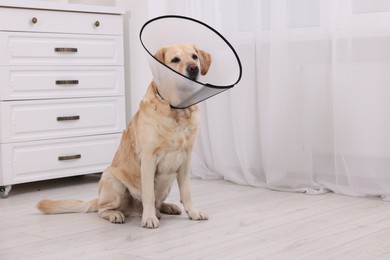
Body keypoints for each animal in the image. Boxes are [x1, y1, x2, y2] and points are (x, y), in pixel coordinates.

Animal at [36, 44, 212, 230]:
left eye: (194, 57)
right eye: (175, 59)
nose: (193, 69)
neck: (177, 111)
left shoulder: (186, 159)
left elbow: (186, 192)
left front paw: (193, 212)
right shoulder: (149, 160)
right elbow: (148, 194)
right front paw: (149, 218)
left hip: (166, 184)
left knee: (157, 202)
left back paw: (167, 207)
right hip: (113, 181)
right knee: (103, 209)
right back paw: (119, 214)